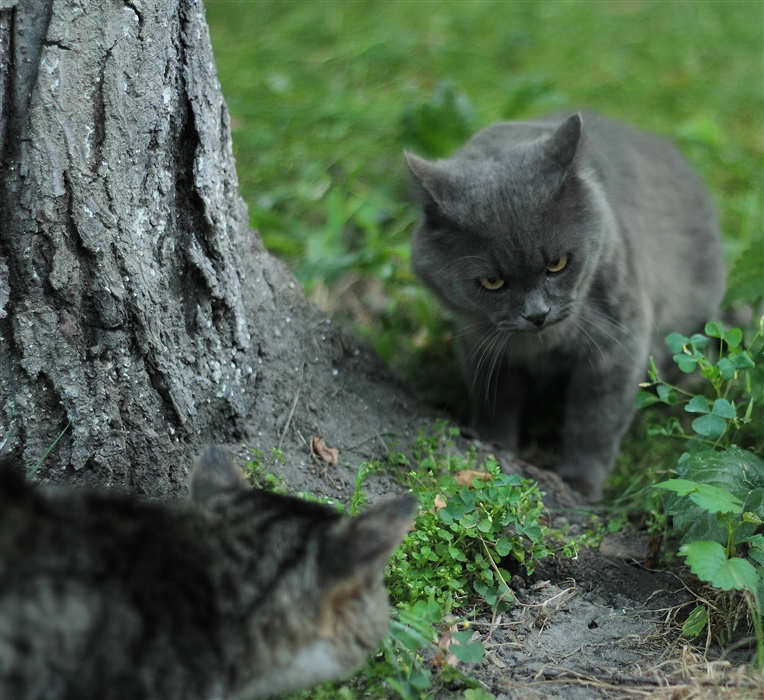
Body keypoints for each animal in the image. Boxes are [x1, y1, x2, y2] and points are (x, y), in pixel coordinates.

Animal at [406, 110, 724, 498]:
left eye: (557, 264)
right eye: (492, 282)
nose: (537, 314)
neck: (543, 345)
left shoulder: (617, 347)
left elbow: (595, 423)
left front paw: (579, 484)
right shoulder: (483, 347)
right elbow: (494, 401)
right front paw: (492, 446)